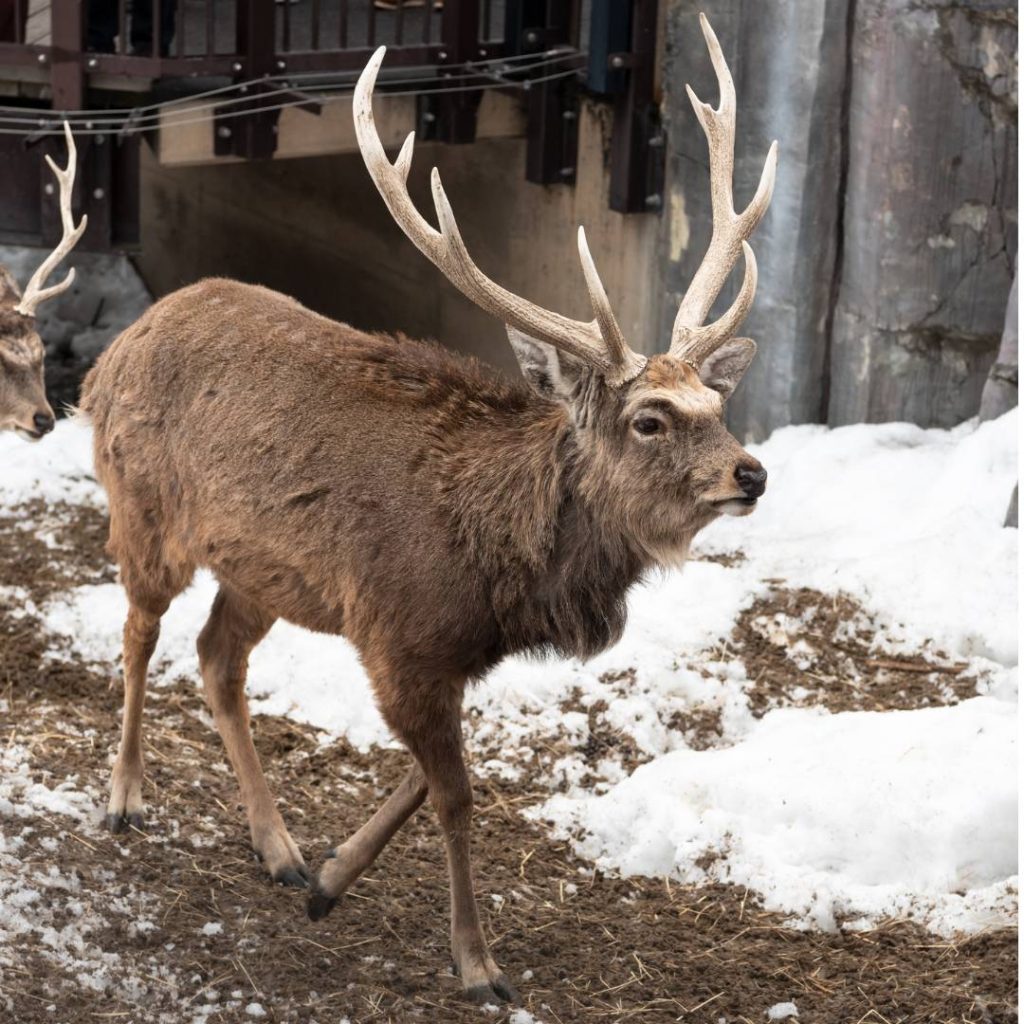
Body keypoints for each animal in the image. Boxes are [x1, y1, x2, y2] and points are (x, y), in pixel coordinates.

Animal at [79, 16, 778, 1003]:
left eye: (715, 404)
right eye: (649, 418)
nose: (750, 474)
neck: (502, 563)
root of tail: (112, 356)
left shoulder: (449, 652)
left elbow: (426, 773)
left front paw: (330, 878)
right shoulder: (399, 633)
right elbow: (454, 794)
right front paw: (478, 962)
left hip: (260, 571)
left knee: (218, 658)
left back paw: (279, 847)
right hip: (142, 510)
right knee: (139, 632)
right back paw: (125, 798)